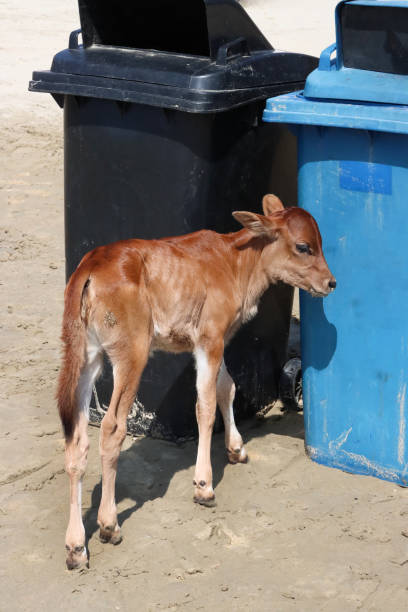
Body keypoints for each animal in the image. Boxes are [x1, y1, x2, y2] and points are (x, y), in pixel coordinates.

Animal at [58, 195, 338, 568]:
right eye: (304, 246)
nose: (331, 283)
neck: (235, 262)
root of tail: (90, 265)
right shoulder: (209, 338)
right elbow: (204, 405)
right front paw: (203, 484)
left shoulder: (217, 338)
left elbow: (226, 387)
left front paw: (236, 448)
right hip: (130, 353)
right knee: (112, 427)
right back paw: (108, 524)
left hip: (87, 356)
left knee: (76, 437)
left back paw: (76, 546)